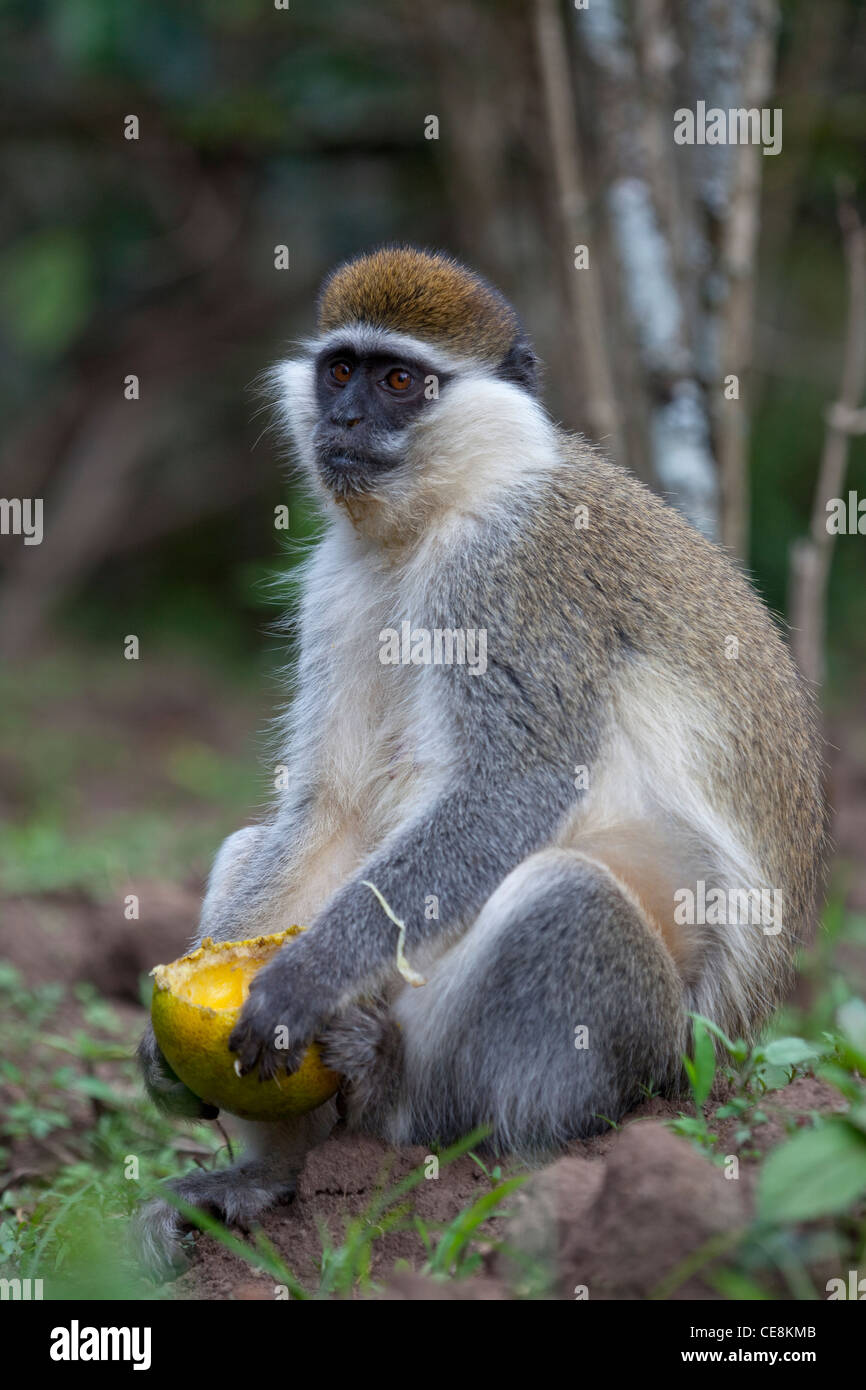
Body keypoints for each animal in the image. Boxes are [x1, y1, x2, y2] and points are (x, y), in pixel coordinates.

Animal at [136, 244, 825, 1276]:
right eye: (342, 370)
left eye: (400, 382)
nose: (344, 421)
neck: (440, 512)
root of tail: (719, 1055)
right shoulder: (339, 580)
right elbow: (330, 805)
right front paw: (165, 1051)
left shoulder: (508, 570)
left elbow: (515, 788)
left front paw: (304, 975)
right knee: (252, 846)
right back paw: (269, 1179)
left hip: (653, 1055)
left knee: (568, 900)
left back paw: (403, 1097)